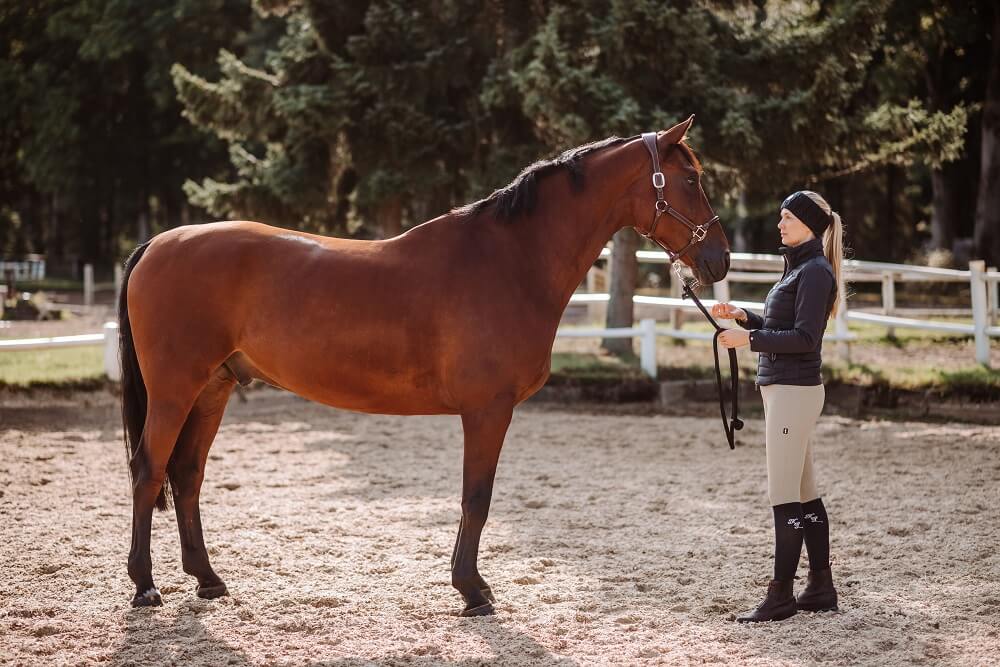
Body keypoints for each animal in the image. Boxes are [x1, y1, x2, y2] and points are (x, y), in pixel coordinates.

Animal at [119, 115, 736, 616]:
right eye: (690, 180)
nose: (720, 259)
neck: (511, 262)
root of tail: (158, 242)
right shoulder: (487, 410)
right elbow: (476, 497)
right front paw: (473, 591)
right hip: (175, 390)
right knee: (149, 471)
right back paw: (145, 586)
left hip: (213, 389)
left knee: (187, 475)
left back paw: (208, 580)